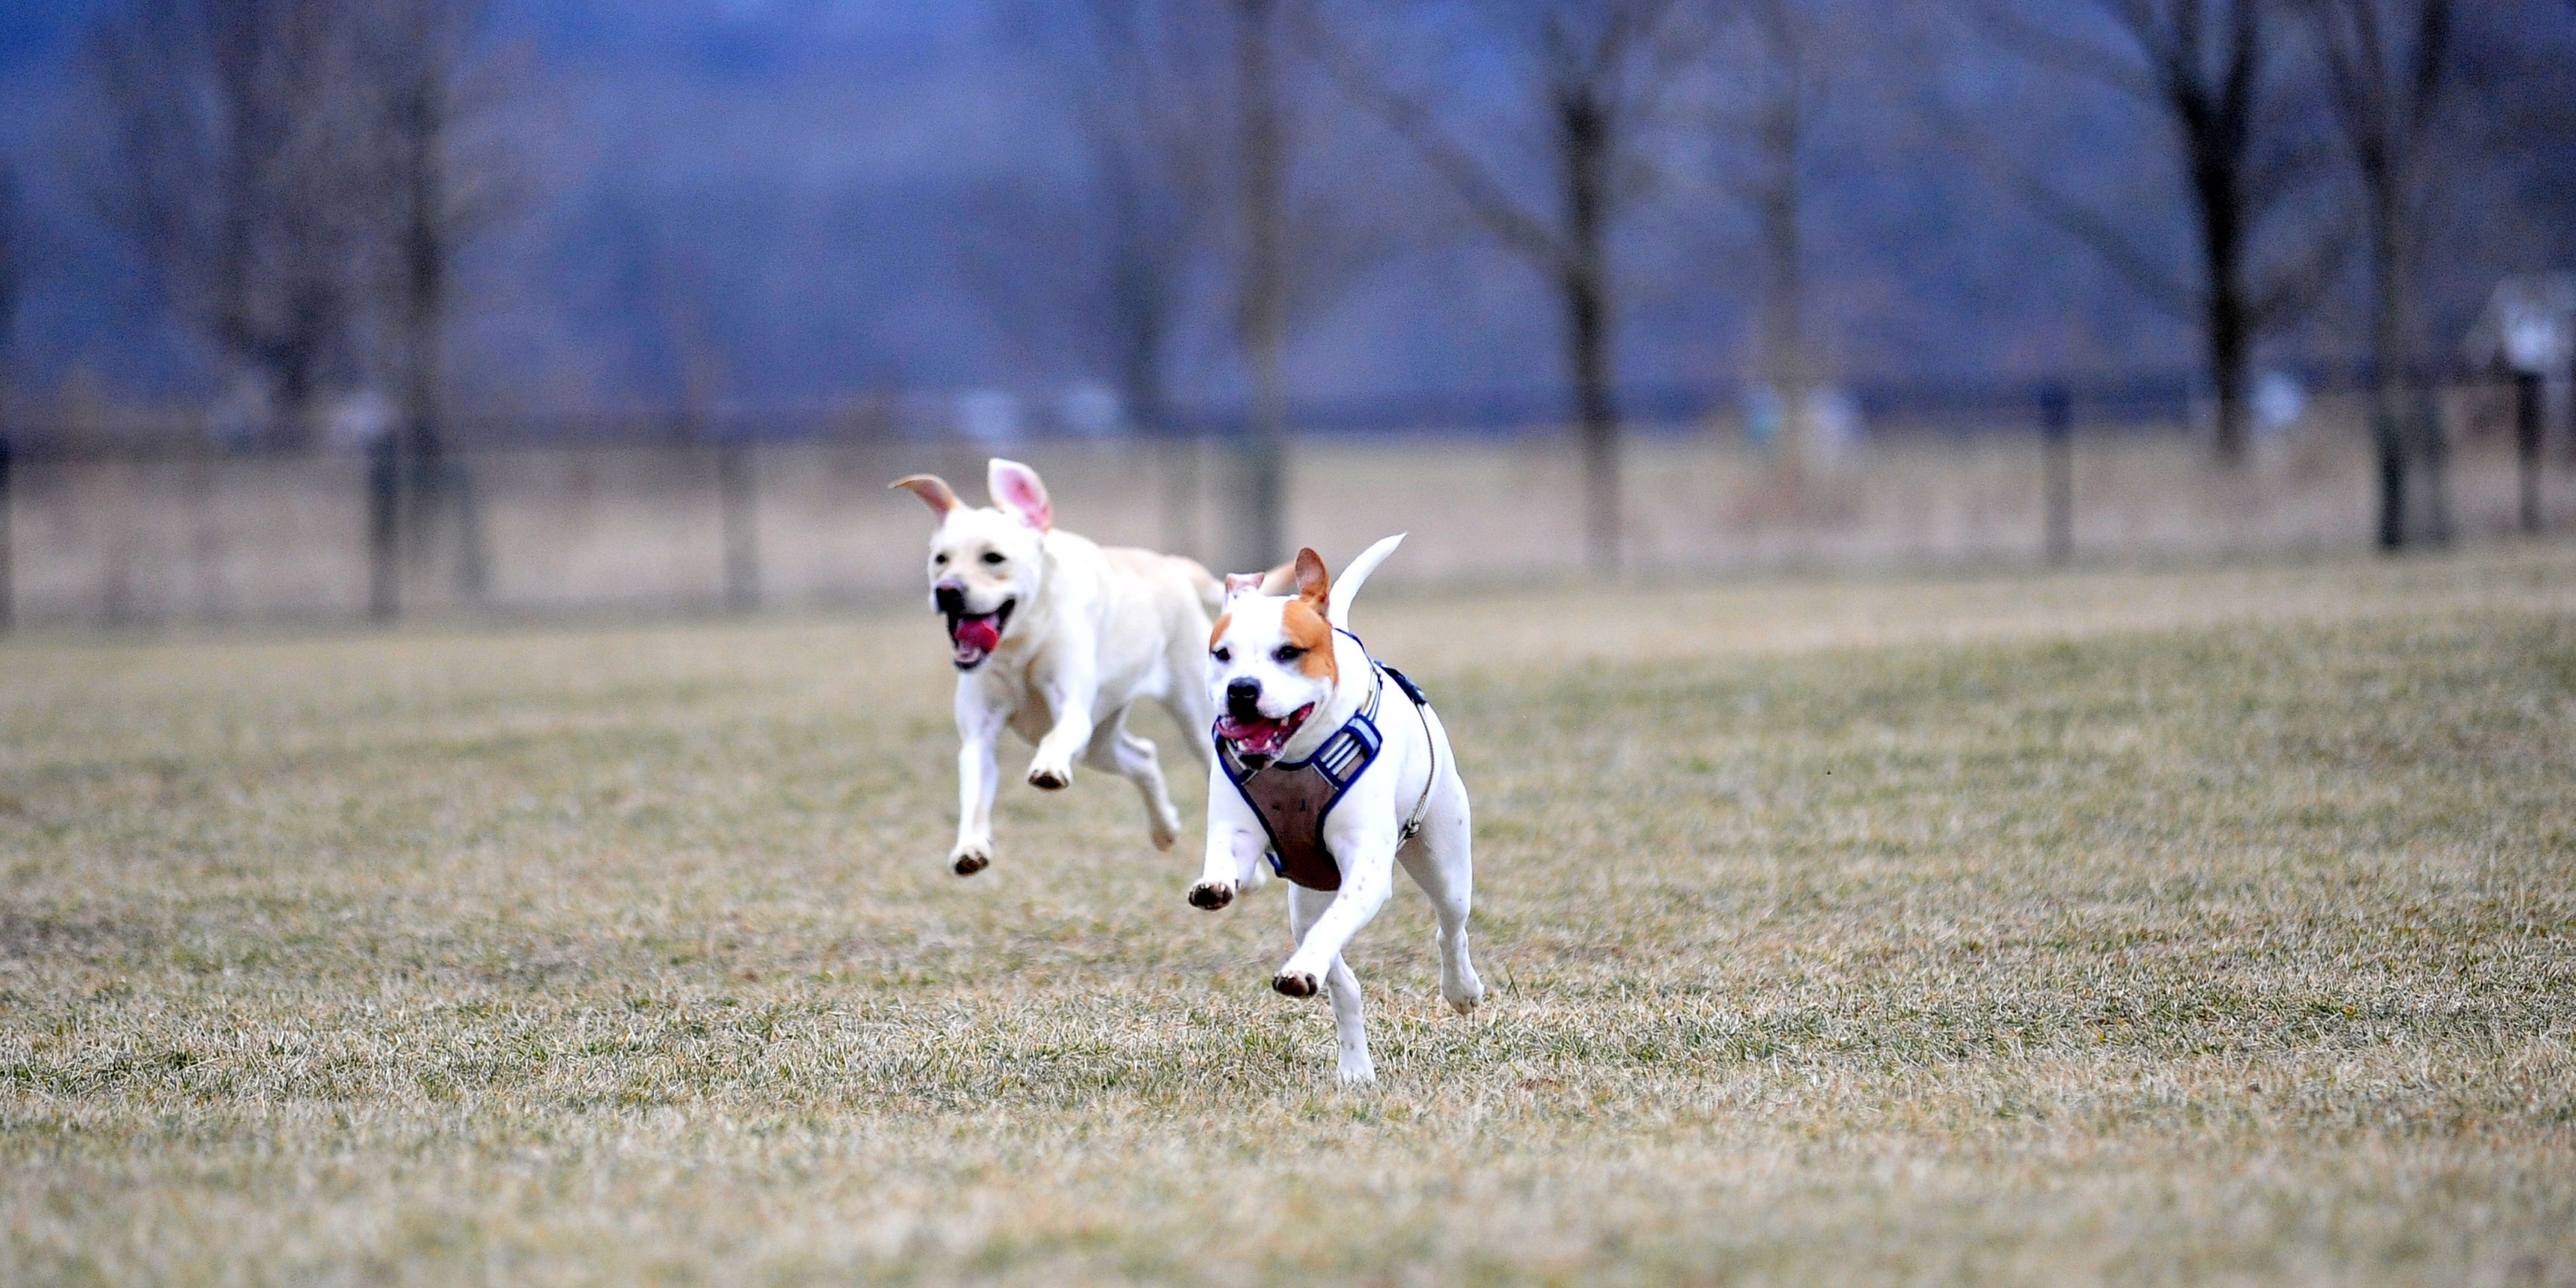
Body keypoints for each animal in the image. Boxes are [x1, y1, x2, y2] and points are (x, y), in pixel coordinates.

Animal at [896, 461, 1226, 876]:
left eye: (994, 558)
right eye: (941, 559)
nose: (947, 590)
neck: (1020, 646)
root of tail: (1169, 563)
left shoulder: (1072, 709)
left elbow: (1056, 737)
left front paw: (1049, 768)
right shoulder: (979, 736)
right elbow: (974, 794)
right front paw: (970, 848)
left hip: (1193, 718)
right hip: (1098, 744)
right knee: (1144, 757)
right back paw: (1165, 830)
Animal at [1190, 533, 1494, 1087]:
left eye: (1289, 652)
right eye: (1222, 654)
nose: (1242, 689)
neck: (1295, 758)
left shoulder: (1366, 872)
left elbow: (1339, 923)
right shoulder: (1237, 832)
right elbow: (1226, 859)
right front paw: (1214, 886)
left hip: (1444, 859)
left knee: (1449, 927)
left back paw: (1462, 990)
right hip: (1305, 900)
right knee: (1342, 982)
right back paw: (1354, 1063)